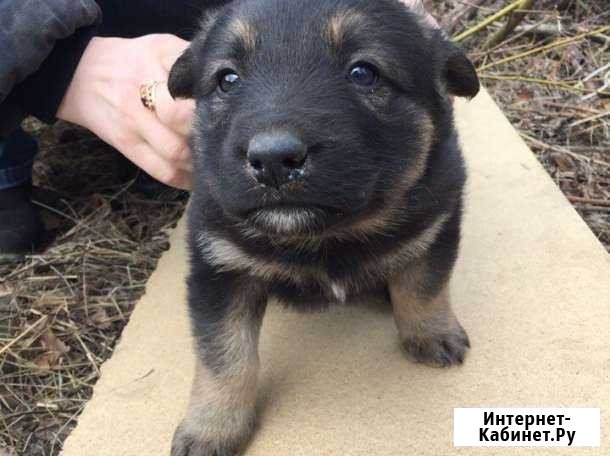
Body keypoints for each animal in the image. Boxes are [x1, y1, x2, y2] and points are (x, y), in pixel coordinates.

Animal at [168, 0, 479, 454]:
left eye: (363, 72)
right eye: (227, 79)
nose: (273, 160)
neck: (325, 236)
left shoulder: (436, 220)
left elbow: (423, 286)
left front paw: (431, 333)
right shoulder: (219, 264)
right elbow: (224, 353)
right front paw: (212, 426)